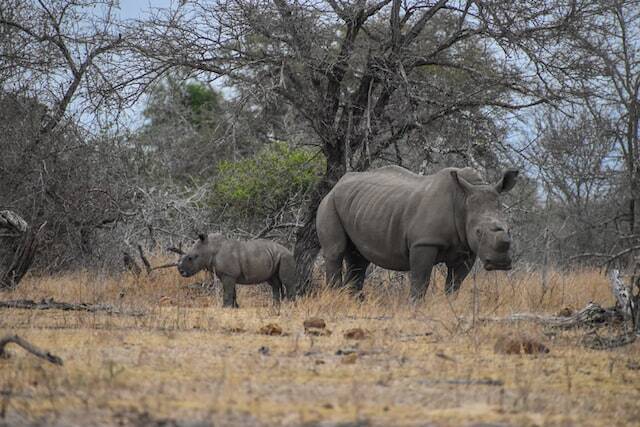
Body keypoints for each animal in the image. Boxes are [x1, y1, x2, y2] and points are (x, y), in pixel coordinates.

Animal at [318, 166, 516, 302]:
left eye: (509, 230)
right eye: (478, 231)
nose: (500, 263)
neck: (463, 202)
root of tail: (337, 183)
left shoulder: (466, 249)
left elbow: (455, 283)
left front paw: (450, 305)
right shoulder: (424, 243)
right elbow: (421, 280)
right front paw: (415, 307)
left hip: (360, 205)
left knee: (359, 259)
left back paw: (354, 302)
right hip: (329, 202)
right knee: (336, 252)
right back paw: (334, 298)